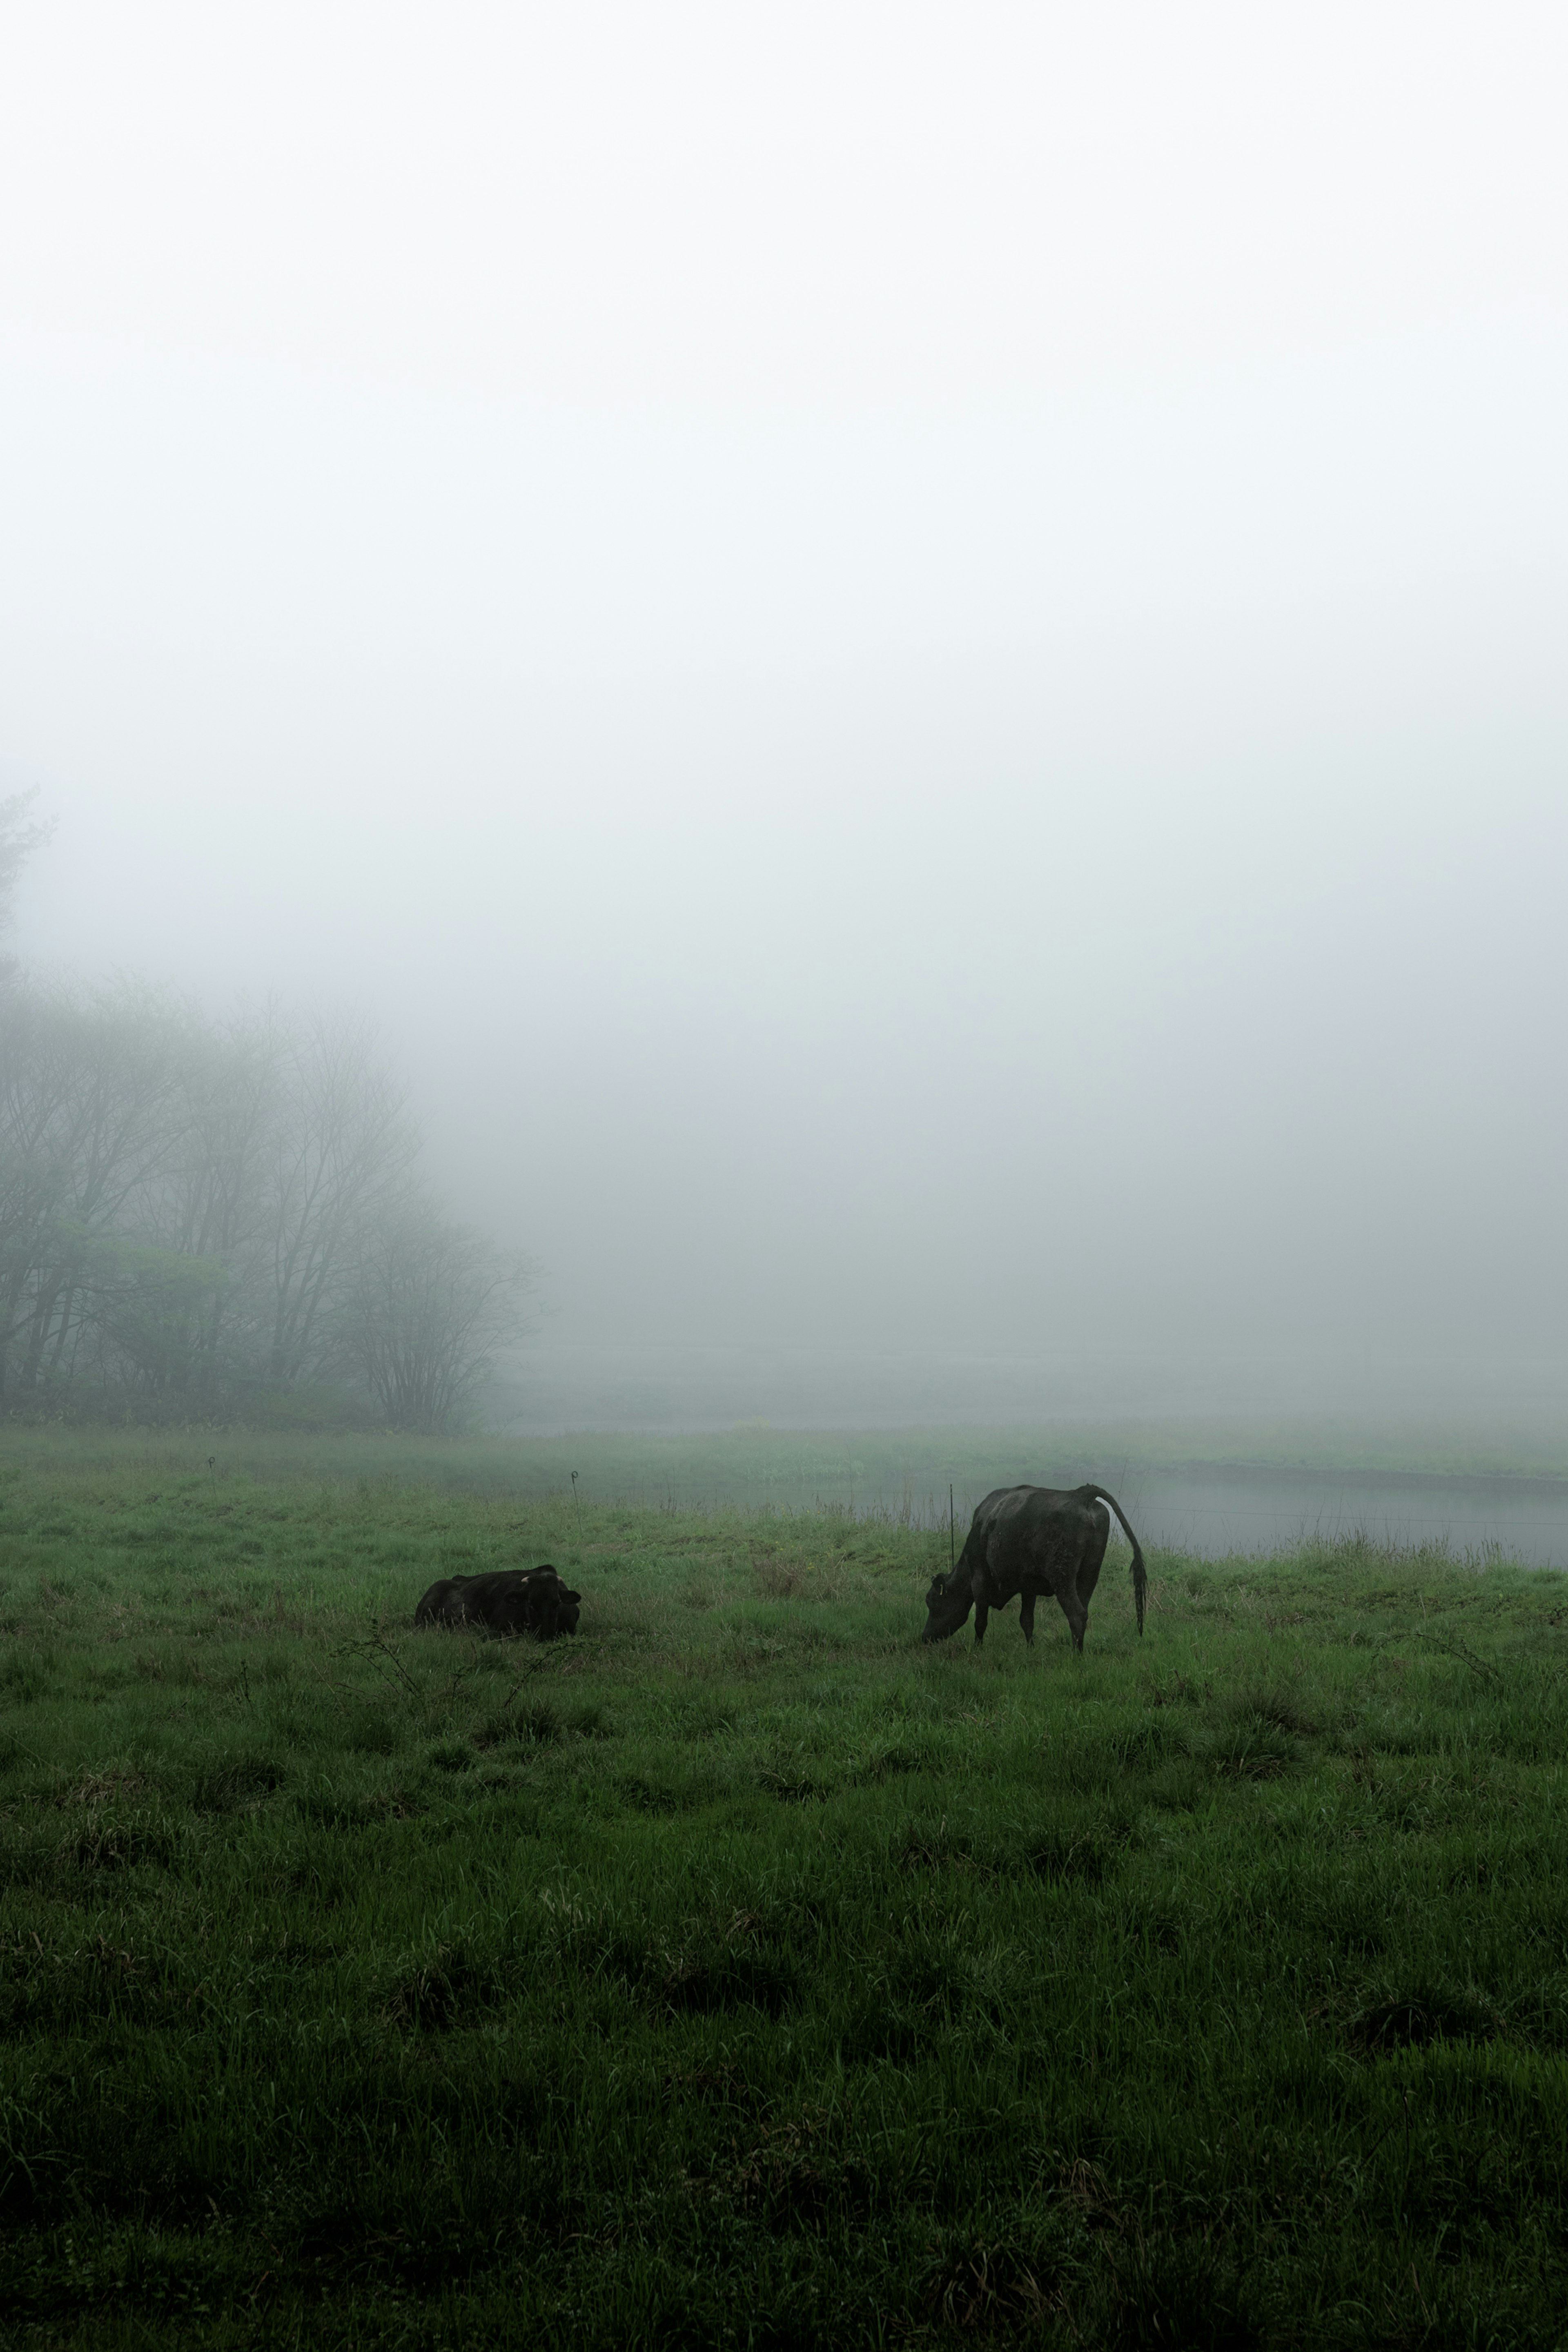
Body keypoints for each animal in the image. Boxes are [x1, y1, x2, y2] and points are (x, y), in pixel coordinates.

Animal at [921, 1486, 1152, 1656]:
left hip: (1062, 1575)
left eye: (932, 1601)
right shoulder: (1028, 1586)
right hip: (1090, 1573)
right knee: (1084, 1611)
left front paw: (977, 1650)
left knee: (1076, 1614)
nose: (925, 1638)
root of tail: (1081, 1494)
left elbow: (980, 1621)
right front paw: (1030, 1650)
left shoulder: (980, 1578)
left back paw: (1077, 1657)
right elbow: (1027, 1620)